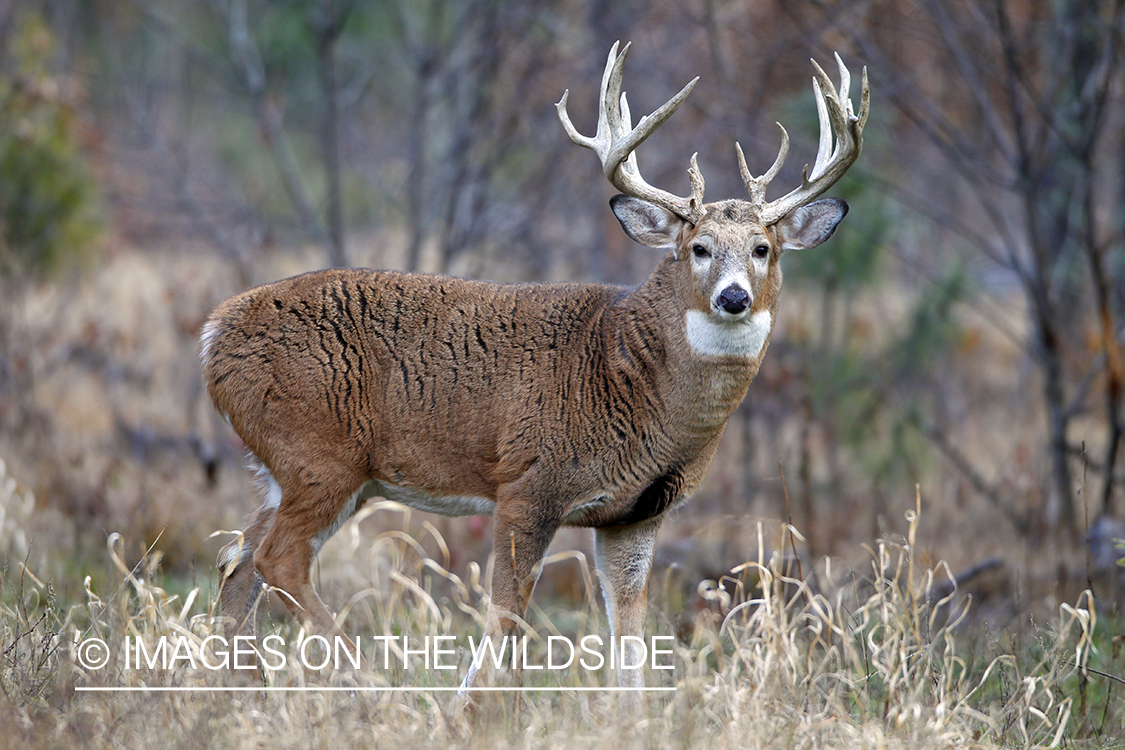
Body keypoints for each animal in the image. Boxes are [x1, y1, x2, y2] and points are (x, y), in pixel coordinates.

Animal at [202, 44, 868, 706]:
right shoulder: (528, 483)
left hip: (296, 470)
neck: (628, 377)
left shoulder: (634, 514)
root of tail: (214, 333)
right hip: (320, 453)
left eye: (763, 248)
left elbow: (630, 633)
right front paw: (469, 710)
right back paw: (377, 690)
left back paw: (241, 695)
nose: (733, 297)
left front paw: (631, 717)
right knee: (277, 558)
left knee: (238, 560)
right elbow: (506, 614)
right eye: (698, 247)